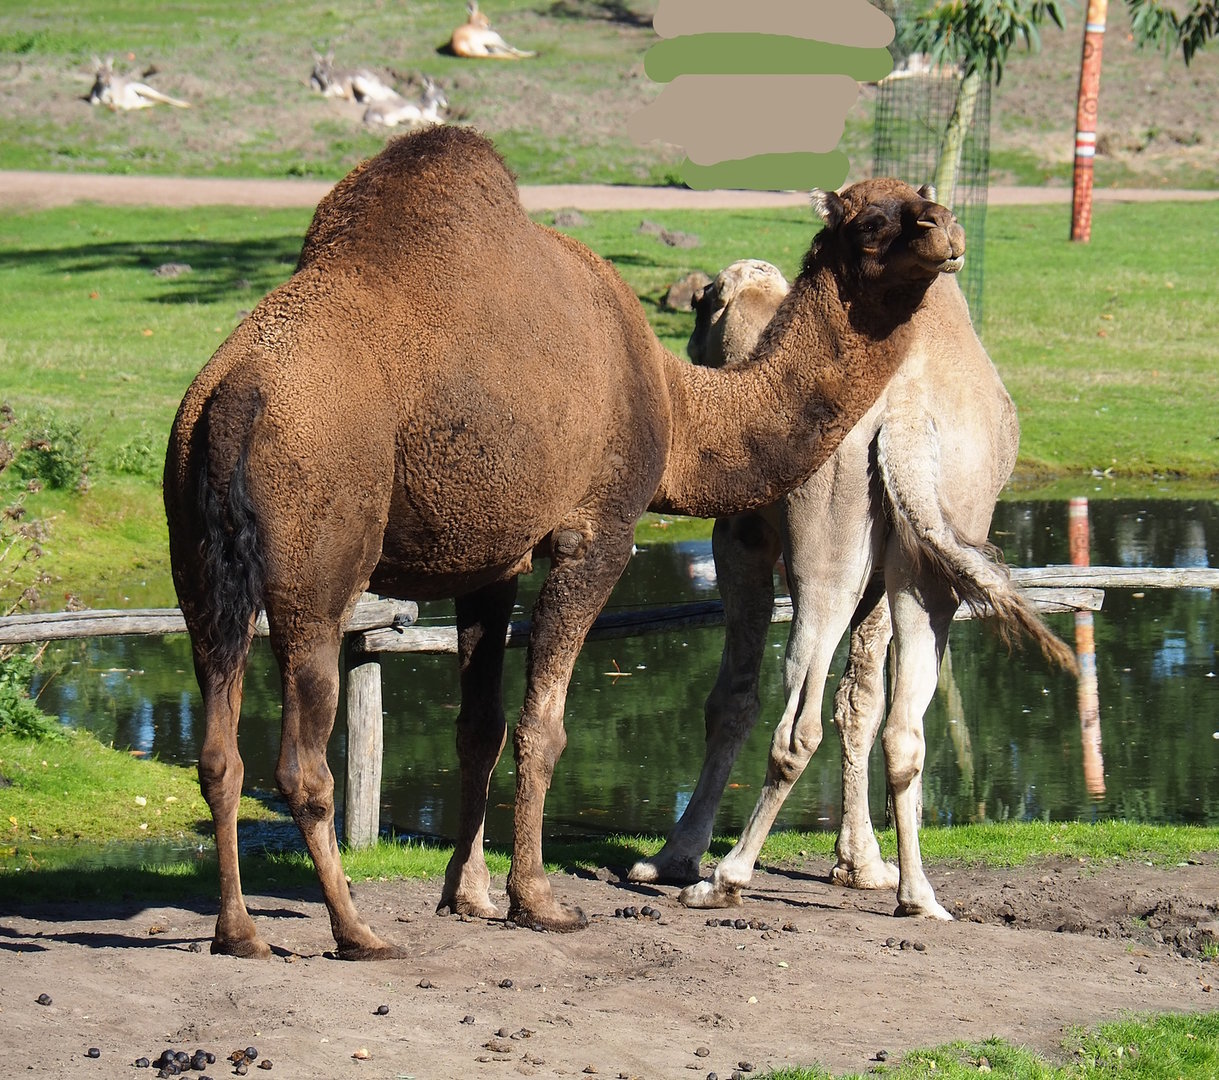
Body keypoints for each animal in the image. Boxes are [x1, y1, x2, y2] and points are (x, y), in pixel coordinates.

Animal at [164, 126, 964, 960]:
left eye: (918, 200)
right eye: (871, 221)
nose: (943, 229)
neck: (678, 407)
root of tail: (234, 396)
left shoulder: (489, 559)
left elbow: (478, 729)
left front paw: (469, 895)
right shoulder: (597, 529)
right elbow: (541, 727)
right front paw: (537, 898)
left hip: (197, 556)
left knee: (218, 750)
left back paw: (238, 931)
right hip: (315, 561)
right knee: (302, 759)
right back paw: (356, 931)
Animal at [628, 243, 1078, 919]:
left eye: (705, 303)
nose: (692, 344)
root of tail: (909, 416)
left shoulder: (738, 540)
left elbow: (733, 698)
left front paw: (670, 859)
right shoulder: (884, 576)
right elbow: (861, 702)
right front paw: (862, 866)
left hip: (829, 539)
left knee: (798, 723)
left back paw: (724, 880)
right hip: (934, 549)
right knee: (902, 727)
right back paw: (919, 897)